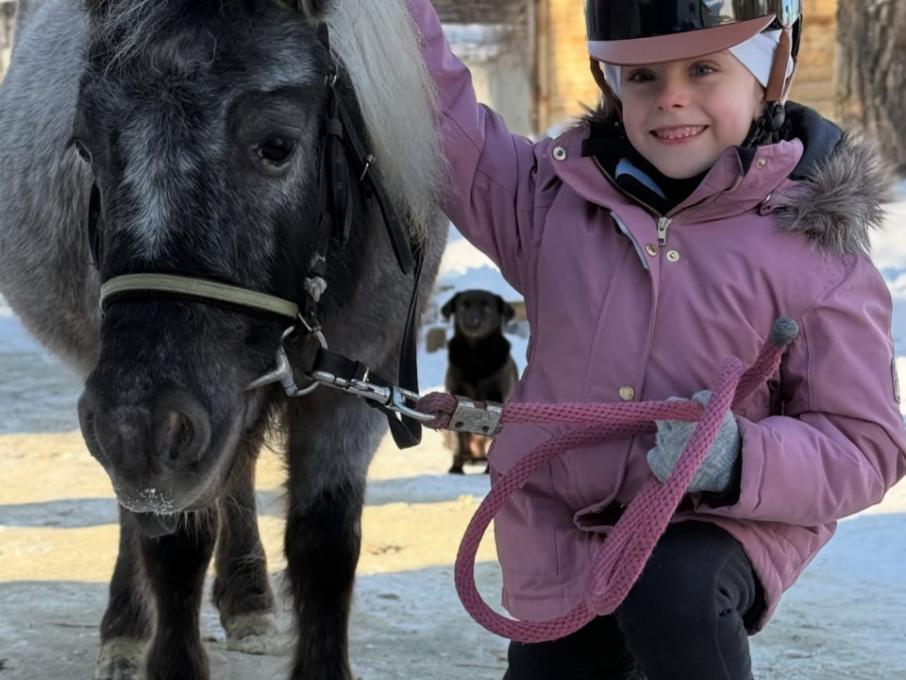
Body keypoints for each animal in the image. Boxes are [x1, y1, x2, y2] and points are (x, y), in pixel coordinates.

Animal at [0, 0, 446, 678]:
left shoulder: (358, 390)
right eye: (85, 146)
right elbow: (175, 544)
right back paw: (125, 627)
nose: (139, 428)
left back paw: (248, 600)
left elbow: (325, 547)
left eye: (277, 145)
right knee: (140, 511)